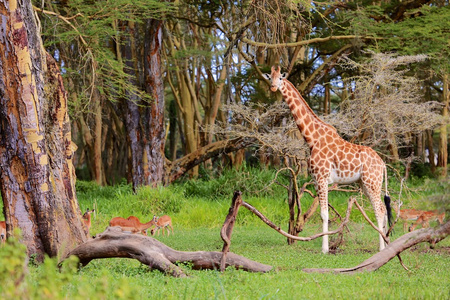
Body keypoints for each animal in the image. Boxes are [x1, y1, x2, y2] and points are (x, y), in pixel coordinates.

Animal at [262, 65, 392, 253]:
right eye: (269, 78)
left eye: (280, 78)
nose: (273, 88)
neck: (312, 138)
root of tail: (382, 164)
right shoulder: (317, 180)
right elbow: (322, 213)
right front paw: (326, 246)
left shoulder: (322, 177)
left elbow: (324, 214)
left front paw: (324, 249)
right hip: (366, 183)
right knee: (382, 208)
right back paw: (386, 246)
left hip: (372, 182)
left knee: (380, 210)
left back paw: (382, 249)